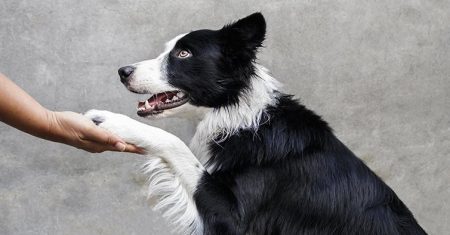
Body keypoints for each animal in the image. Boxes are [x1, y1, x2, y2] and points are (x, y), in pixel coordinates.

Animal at [84, 13, 426, 235]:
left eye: (183, 53)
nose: (123, 71)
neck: (241, 118)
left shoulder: (235, 219)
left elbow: (176, 145)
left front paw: (111, 121)